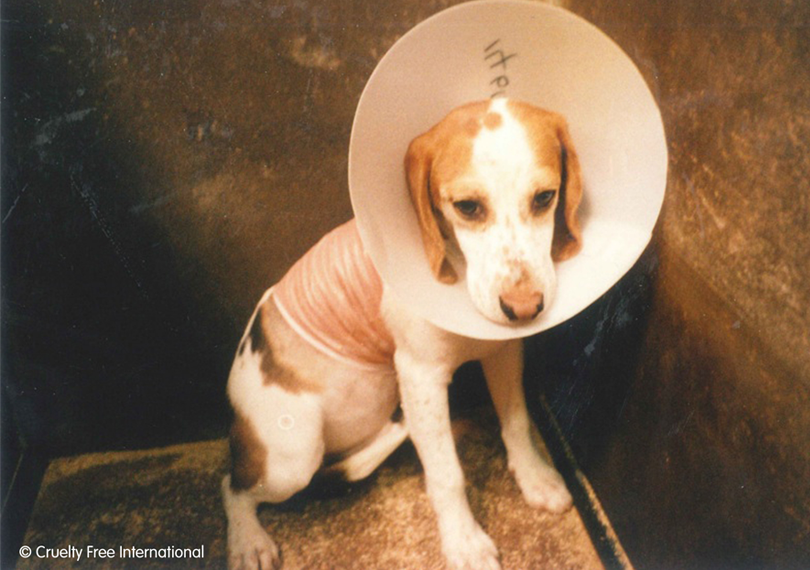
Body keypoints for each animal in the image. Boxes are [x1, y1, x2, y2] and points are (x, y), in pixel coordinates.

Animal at [221, 98, 580, 568]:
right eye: (467, 207)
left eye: (544, 198)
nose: (524, 308)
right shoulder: (420, 377)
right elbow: (447, 474)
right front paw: (464, 541)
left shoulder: (503, 353)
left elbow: (516, 422)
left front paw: (534, 477)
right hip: (293, 456)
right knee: (233, 487)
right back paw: (247, 539)